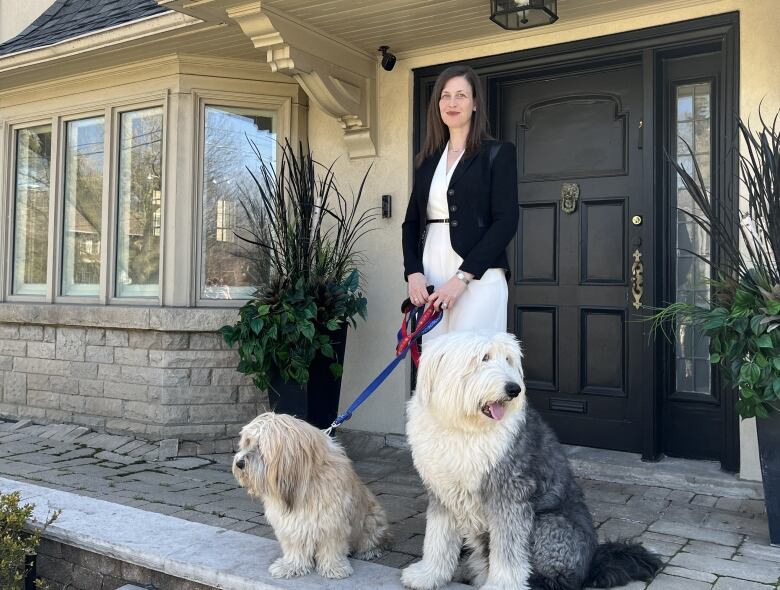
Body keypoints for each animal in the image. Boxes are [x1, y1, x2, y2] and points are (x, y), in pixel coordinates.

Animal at [232, 414, 390, 580]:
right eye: (246, 443)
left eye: (260, 446)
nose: (239, 463)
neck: (302, 485)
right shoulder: (292, 524)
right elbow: (295, 548)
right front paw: (292, 566)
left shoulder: (332, 522)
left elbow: (331, 547)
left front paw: (334, 568)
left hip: (372, 520)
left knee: (373, 540)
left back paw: (369, 551)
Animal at [402, 332, 664, 590]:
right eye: (485, 357)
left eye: (508, 359)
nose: (514, 389)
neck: (465, 428)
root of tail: (592, 565)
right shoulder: (444, 493)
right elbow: (438, 539)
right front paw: (427, 575)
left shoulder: (509, 495)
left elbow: (507, 550)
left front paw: (501, 585)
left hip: (547, 525)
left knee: (557, 580)